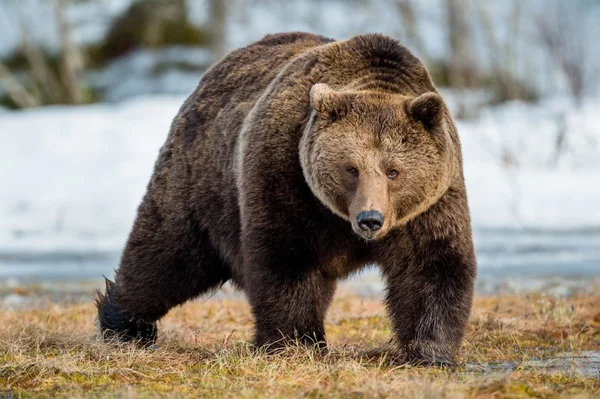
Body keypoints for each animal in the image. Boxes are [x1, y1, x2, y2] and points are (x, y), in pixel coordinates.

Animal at [96, 32, 476, 368]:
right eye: (351, 168)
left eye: (393, 171)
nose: (370, 218)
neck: (340, 219)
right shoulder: (288, 179)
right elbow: (288, 260)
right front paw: (297, 344)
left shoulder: (429, 204)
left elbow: (431, 266)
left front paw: (430, 351)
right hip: (201, 186)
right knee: (165, 258)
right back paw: (124, 323)